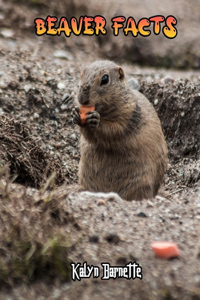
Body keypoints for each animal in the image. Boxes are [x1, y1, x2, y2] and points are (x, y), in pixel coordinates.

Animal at [72, 59, 168, 200]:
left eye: (105, 79)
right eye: (81, 74)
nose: (82, 98)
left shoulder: (127, 115)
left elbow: (114, 130)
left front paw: (96, 120)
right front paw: (75, 114)